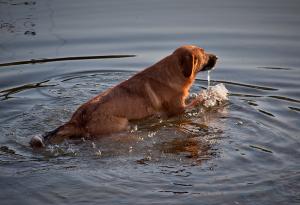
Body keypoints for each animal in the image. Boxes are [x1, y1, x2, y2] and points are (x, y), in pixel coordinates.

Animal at [30, 44, 217, 147]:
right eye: (204, 53)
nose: (217, 56)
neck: (173, 72)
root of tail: (79, 118)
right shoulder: (179, 110)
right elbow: (197, 101)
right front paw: (211, 95)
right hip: (121, 124)